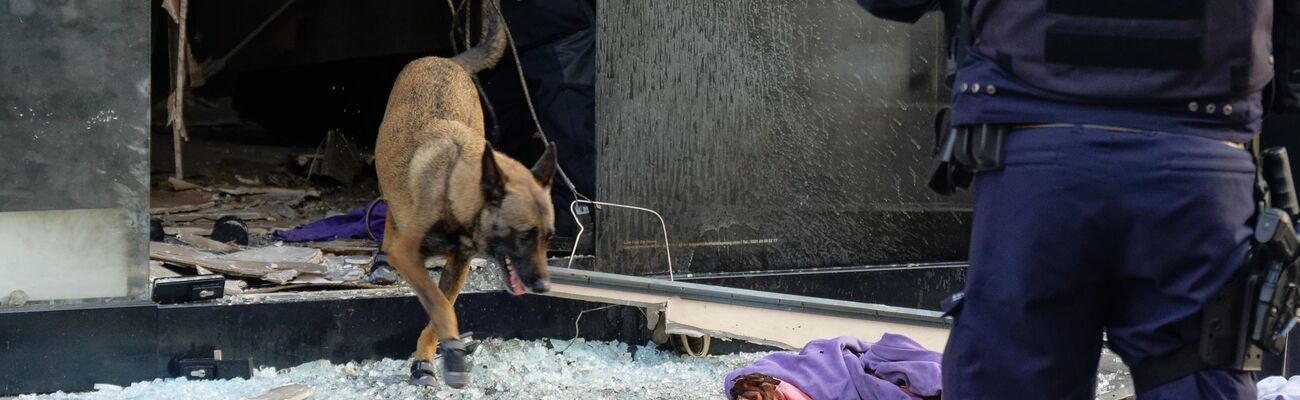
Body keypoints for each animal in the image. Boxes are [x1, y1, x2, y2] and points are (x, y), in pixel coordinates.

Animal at [377, 0, 559, 389]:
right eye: (524, 235)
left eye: (548, 238)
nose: (543, 287)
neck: (454, 187)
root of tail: (445, 60)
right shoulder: (408, 256)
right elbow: (439, 306)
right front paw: (452, 354)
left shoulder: (457, 266)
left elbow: (440, 309)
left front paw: (428, 358)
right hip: (386, 176)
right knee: (388, 214)